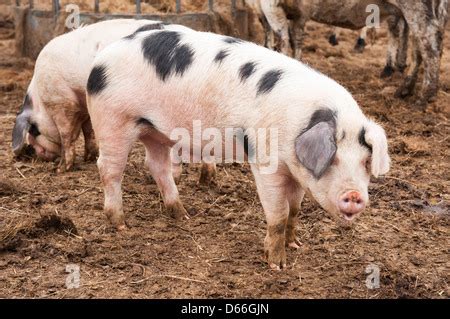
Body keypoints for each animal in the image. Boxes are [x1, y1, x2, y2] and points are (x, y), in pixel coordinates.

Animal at [86, 29, 388, 270]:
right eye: (333, 159)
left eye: (365, 162)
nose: (354, 195)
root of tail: (100, 60)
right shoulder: (265, 162)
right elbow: (278, 215)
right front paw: (277, 265)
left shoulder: (296, 170)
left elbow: (295, 210)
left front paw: (296, 245)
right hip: (114, 120)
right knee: (109, 169)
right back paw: (121, 224)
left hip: (157, 131)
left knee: (157, 165)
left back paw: (183, 214)